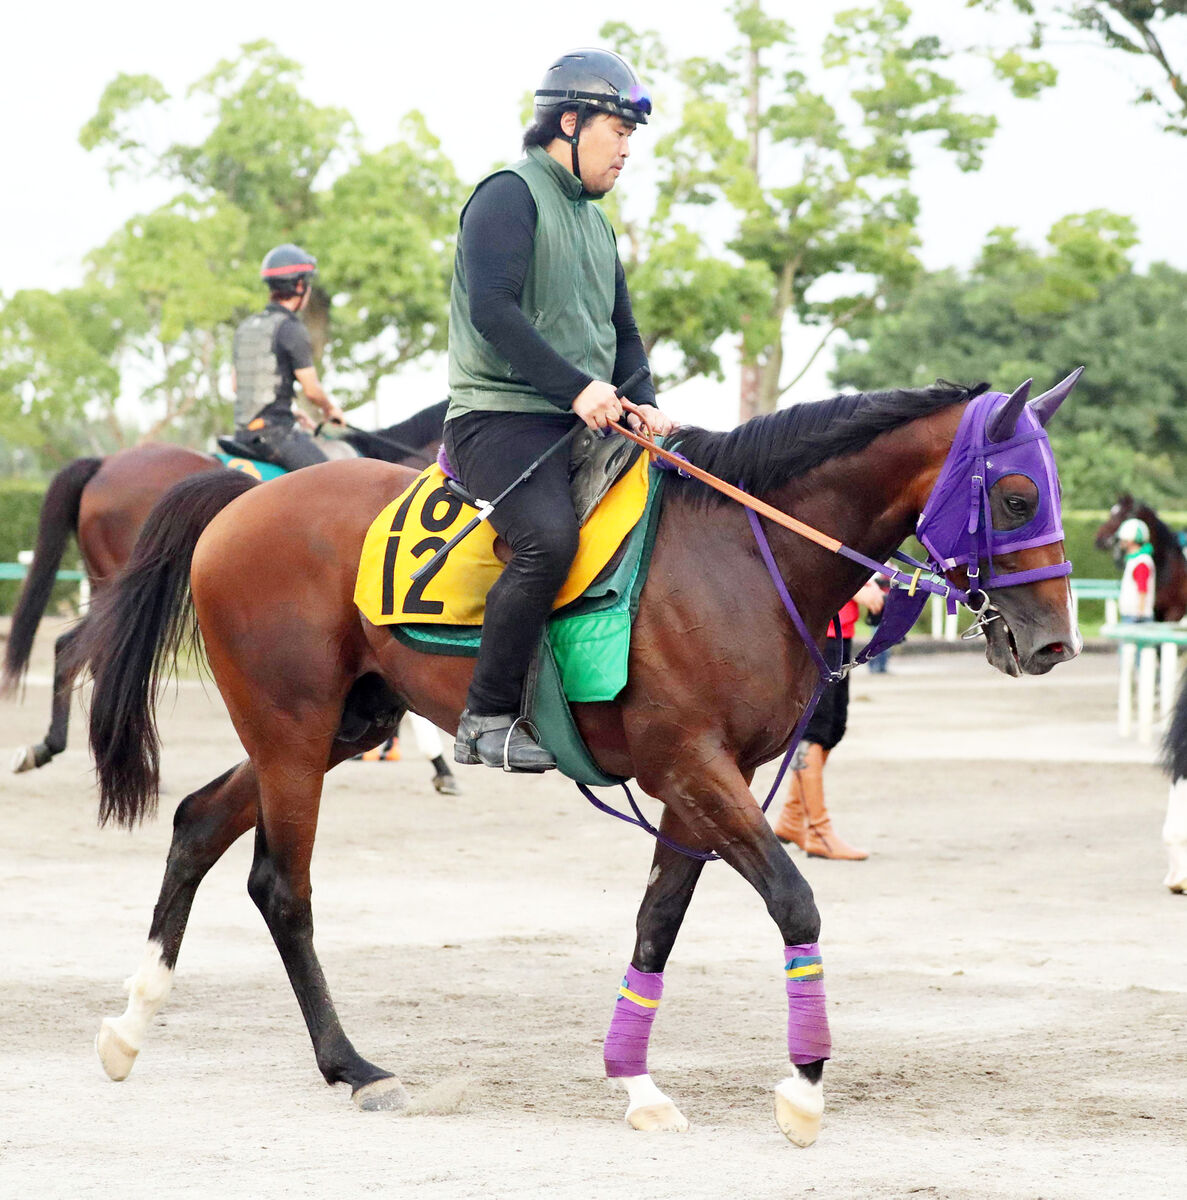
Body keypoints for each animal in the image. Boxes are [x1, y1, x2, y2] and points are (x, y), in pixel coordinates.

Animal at [76, 374, 1084, 1142]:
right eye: (1017, 496)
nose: (1052, 645)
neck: (739, 553)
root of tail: (242, 498)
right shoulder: (692, 768)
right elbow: (794, 901)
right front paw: (802, 1088)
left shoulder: (700, 785)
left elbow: (656, 923)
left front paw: (635, 1083)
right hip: (291, 726)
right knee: (282, 887)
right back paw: (353, 1067)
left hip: (337, 729)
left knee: (197, 823)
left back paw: (130, 1025)